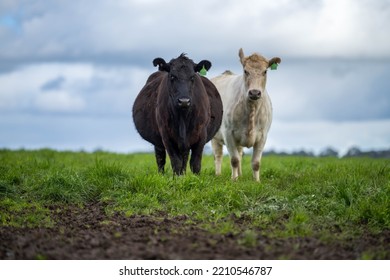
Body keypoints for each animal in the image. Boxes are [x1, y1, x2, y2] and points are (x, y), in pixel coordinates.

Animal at [210, 48, 280, 182]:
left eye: (265, 71)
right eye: (245, 71)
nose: (255, 92)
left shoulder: (263, 136)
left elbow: (256, 163)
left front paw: (256, 181)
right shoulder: (228, 133)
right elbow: (234, 160)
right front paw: (234, 180)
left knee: (239, 152)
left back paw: (240, 174)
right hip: (214, 137)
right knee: (218, 155)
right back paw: (218, 174)